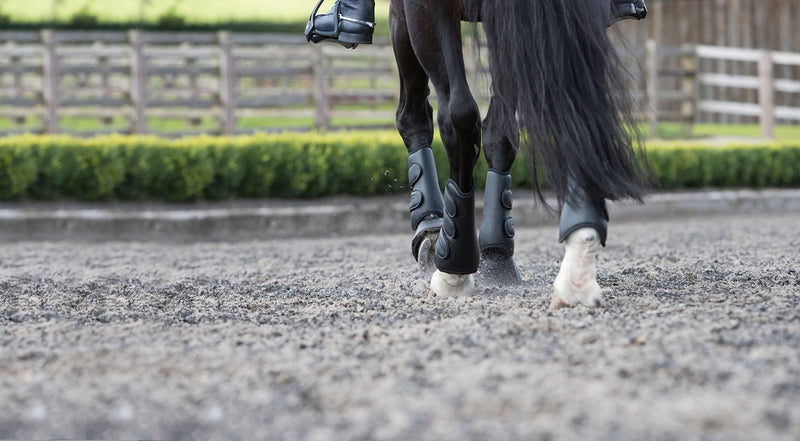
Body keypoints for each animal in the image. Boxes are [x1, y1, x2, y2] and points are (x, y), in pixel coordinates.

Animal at [392, 0, 648, 308]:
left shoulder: (403, 11)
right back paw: (577, 269)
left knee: (457, 114)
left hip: (429, 13)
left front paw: (429, 226)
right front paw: (497, 254)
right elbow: (501, 134)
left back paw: (452, 270)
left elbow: (414, 116)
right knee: (580, 113)